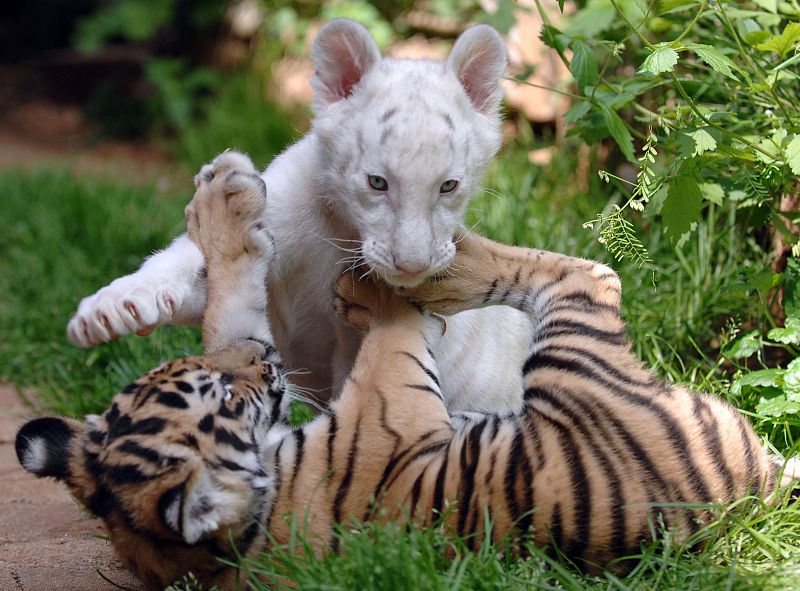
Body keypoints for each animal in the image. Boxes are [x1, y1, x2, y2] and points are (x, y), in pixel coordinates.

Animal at [17, 155, 799, 590]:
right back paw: (446, 263)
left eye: (192, 369)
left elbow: (231, 295)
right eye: (226, 396)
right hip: (575, 361)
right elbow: (387, 327)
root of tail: (759, 480)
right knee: (589, 272)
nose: (267, 365)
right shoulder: (388, 394)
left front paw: (222, 201)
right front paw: (372, 288)